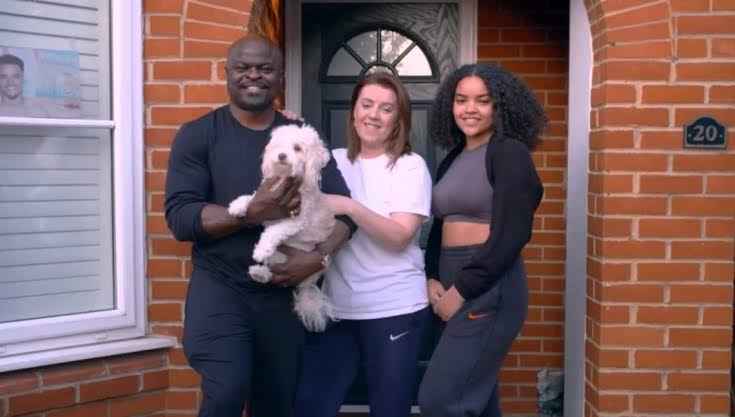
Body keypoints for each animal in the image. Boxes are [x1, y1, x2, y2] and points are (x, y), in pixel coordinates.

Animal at [229, 123, 338, 332]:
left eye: (297, 148)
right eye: (279, 145)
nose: (281, 155)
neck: (287, 182)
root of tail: (307, 287)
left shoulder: (295, 221)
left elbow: (273, 232)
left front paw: (262, 249)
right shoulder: (265, 208)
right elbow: (252, 199)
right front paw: (237, 206)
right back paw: (260, 273)